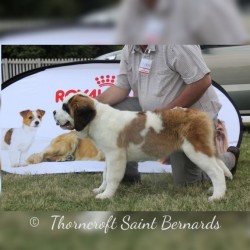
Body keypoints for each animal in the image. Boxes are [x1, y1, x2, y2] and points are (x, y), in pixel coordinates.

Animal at [53, 92, 232, 201]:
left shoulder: (116, 156)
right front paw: (100, 189)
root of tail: (201, 114)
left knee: (216, 171)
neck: (96, 118)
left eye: (65, 107)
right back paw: (215, 190)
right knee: (217, 167)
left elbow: (111, 177)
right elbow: (105, 174)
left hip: (196, 151)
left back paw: (217, 196)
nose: (53, 112)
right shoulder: (109, 156)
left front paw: (106, 195)